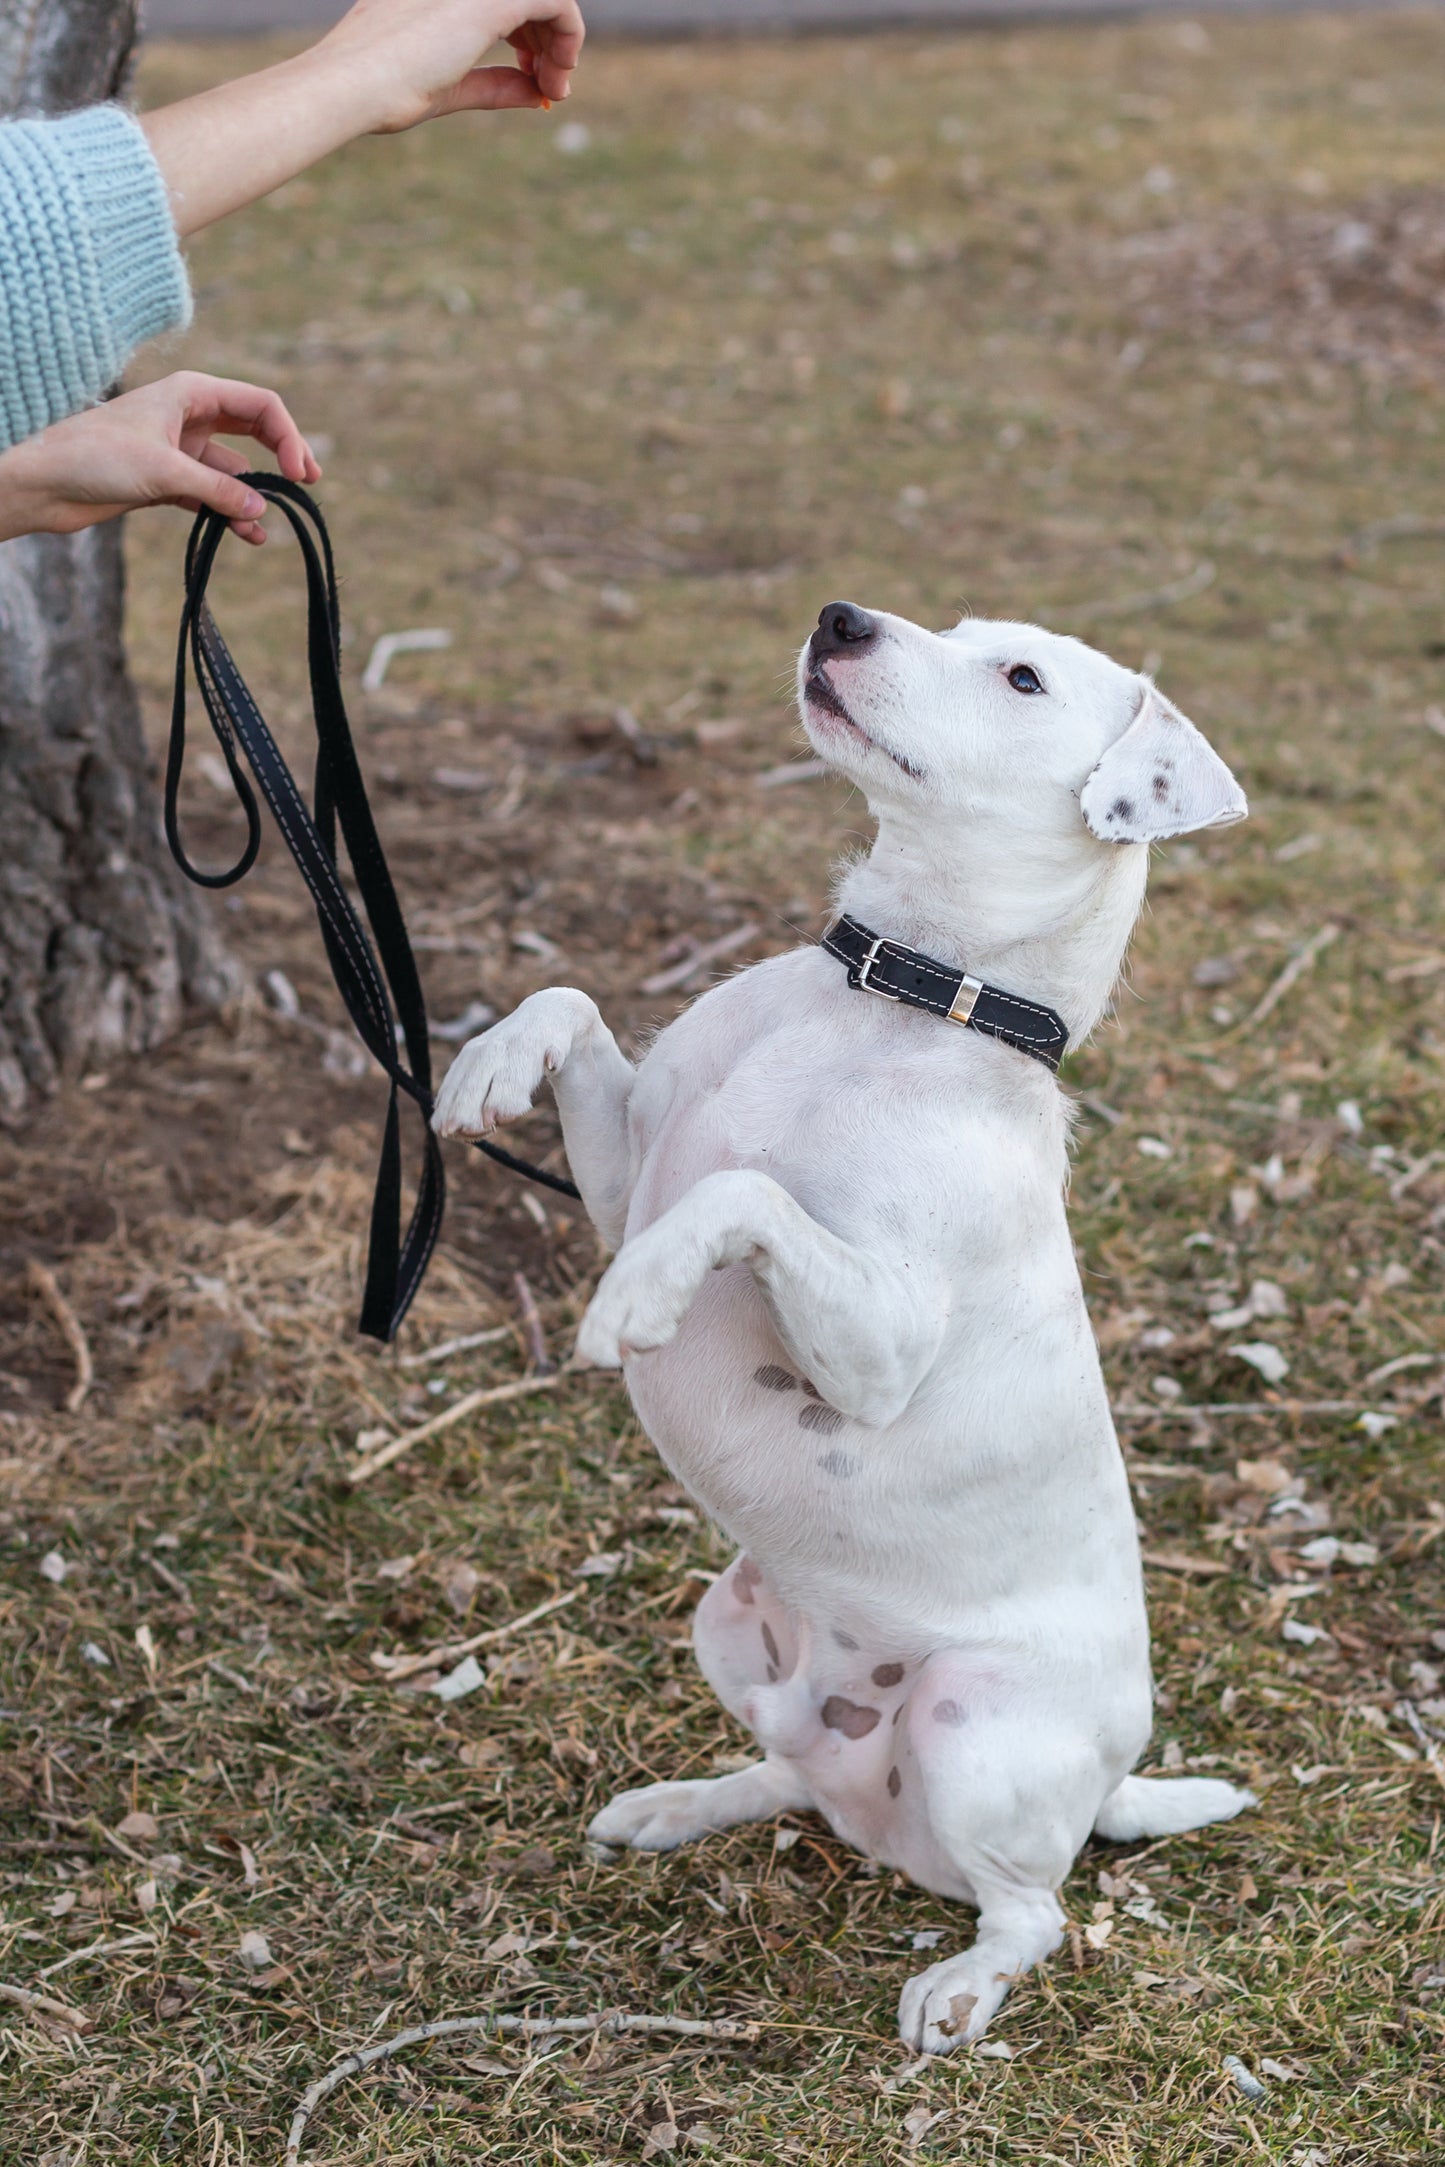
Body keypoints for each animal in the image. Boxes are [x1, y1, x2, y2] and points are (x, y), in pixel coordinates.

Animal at [428, 606, 1256, 2045]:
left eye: (1020, 675)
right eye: (959, 627)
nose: (841, 617)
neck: (891, 997)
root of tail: (1102, 1784)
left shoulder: (876, 1346)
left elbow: (741, 1194)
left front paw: (640, 1295)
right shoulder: (623, 1173)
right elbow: (572, 1003)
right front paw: (489, 1059)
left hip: (971, 1724)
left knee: (1032, 1909)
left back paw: (960, 1987)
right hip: (727, 1619)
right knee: (796, 1770)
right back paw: (681, 1803)